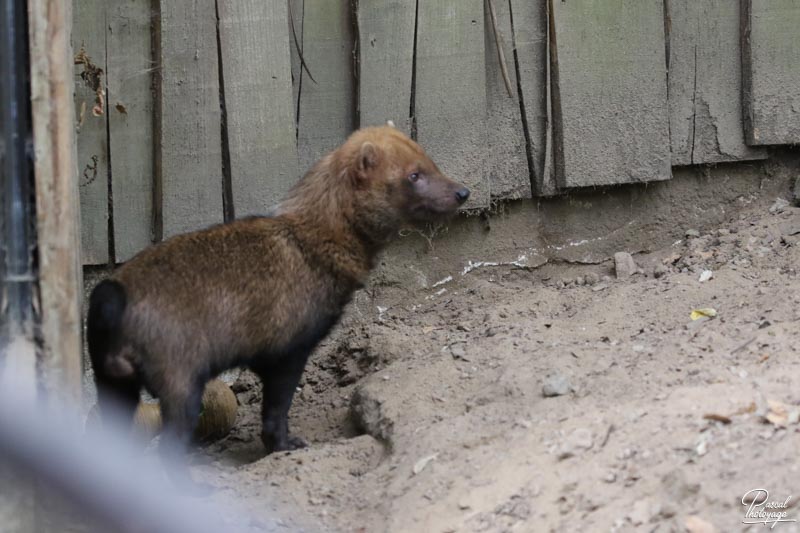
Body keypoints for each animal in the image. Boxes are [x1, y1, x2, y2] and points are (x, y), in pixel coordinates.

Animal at [89, 123, 468, 486]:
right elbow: (276, 409)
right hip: (181, 384)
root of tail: (113, 293)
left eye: (428, 158)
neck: (312, 243)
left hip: (113, 386)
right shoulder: (288, 352)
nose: (463, 192)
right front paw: (286, 446)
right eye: (414, 174)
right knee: (167, 449)